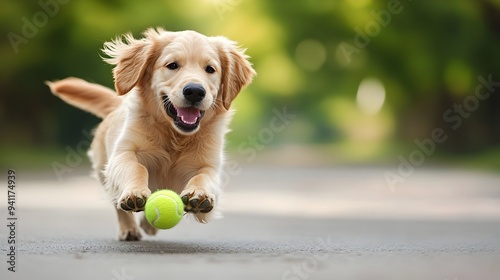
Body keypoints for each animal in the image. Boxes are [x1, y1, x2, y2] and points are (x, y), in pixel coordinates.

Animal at [46, 27, 254, 240]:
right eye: (172, 65)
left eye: (210, 69)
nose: (195, 91)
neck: (174, 135)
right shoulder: (124, 153)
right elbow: (137, 168)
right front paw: (134, 194)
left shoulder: (208, 163)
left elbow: (203, 177)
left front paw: (200, 195)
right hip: (103, 168)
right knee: (117, 203)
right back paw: (129, 229)